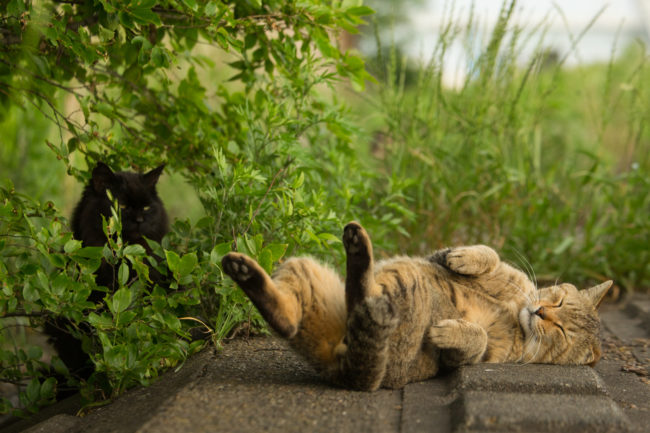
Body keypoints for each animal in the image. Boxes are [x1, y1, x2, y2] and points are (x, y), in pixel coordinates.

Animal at [221, 221, 608, 390]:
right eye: (558, 300)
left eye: (561, 330)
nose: (541, 312)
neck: (515, 311)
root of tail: (345, 370)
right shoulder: (449, 258)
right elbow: (488, 253)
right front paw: (464, 257)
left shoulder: (469, 361)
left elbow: (477, 339)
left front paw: (452, 331)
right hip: (303, 268)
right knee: (291, 316)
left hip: (403, 288)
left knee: (358, 296)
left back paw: (358, 252)